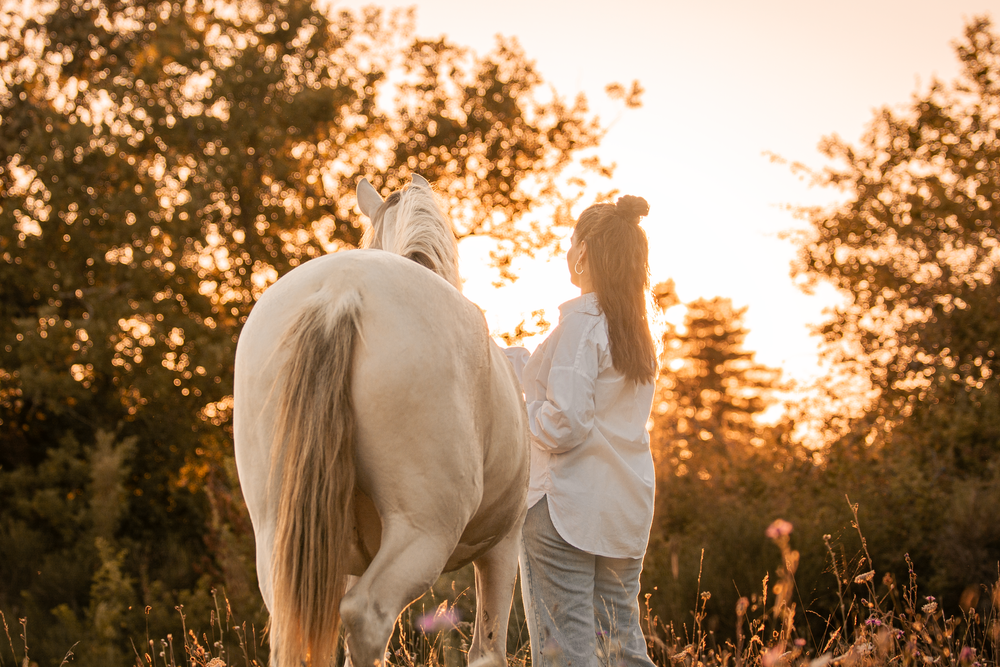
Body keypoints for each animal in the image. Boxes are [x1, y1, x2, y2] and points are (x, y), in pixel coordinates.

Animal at [233, 173, 530, 667]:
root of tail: (341, 290)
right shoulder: (502, 548)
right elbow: (487, 652)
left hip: (281, 536)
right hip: (425, 532)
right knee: (368, 617)